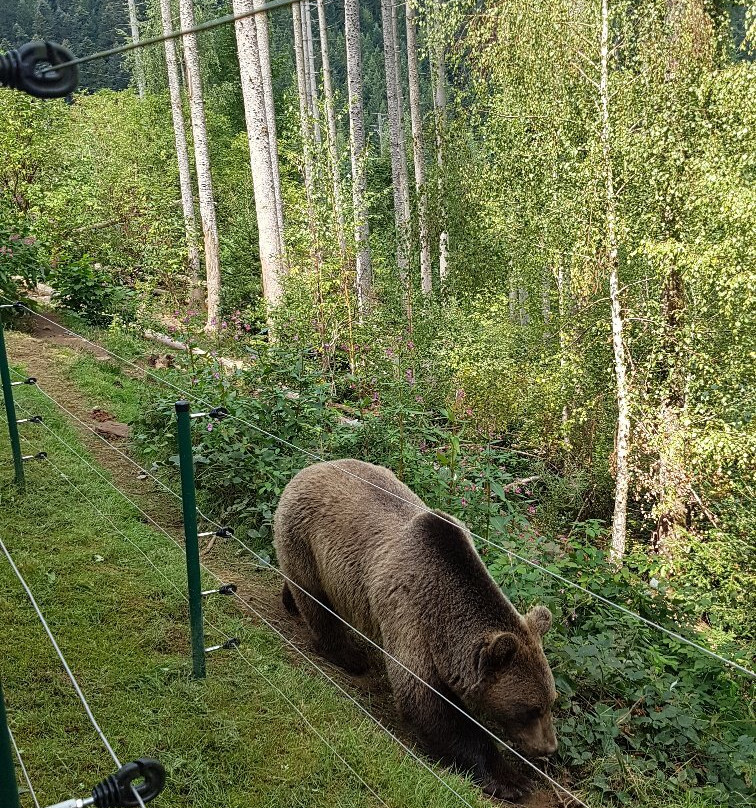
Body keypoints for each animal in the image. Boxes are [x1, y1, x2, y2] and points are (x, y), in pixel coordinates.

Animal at [274, 458, 560, 800]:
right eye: (531, 709)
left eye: (552, 701)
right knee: (316, 600)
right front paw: (511, 780)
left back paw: (288, 601)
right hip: (306, 540)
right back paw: (349, 656)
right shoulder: (411, 617)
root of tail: (310, 467)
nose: (549, 748)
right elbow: (425, 700)